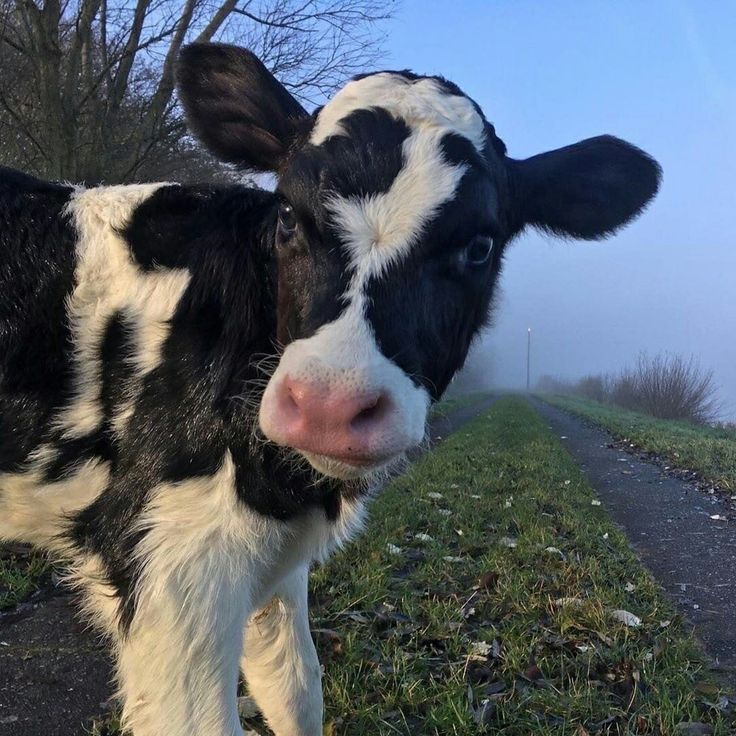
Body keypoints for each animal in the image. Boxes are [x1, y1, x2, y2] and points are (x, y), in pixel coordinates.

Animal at [0, 43, 660, 732]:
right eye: (289, 215)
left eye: (479, 246)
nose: (329, 407)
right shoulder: (173, 566)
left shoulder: (269, 563)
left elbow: (296, 687)